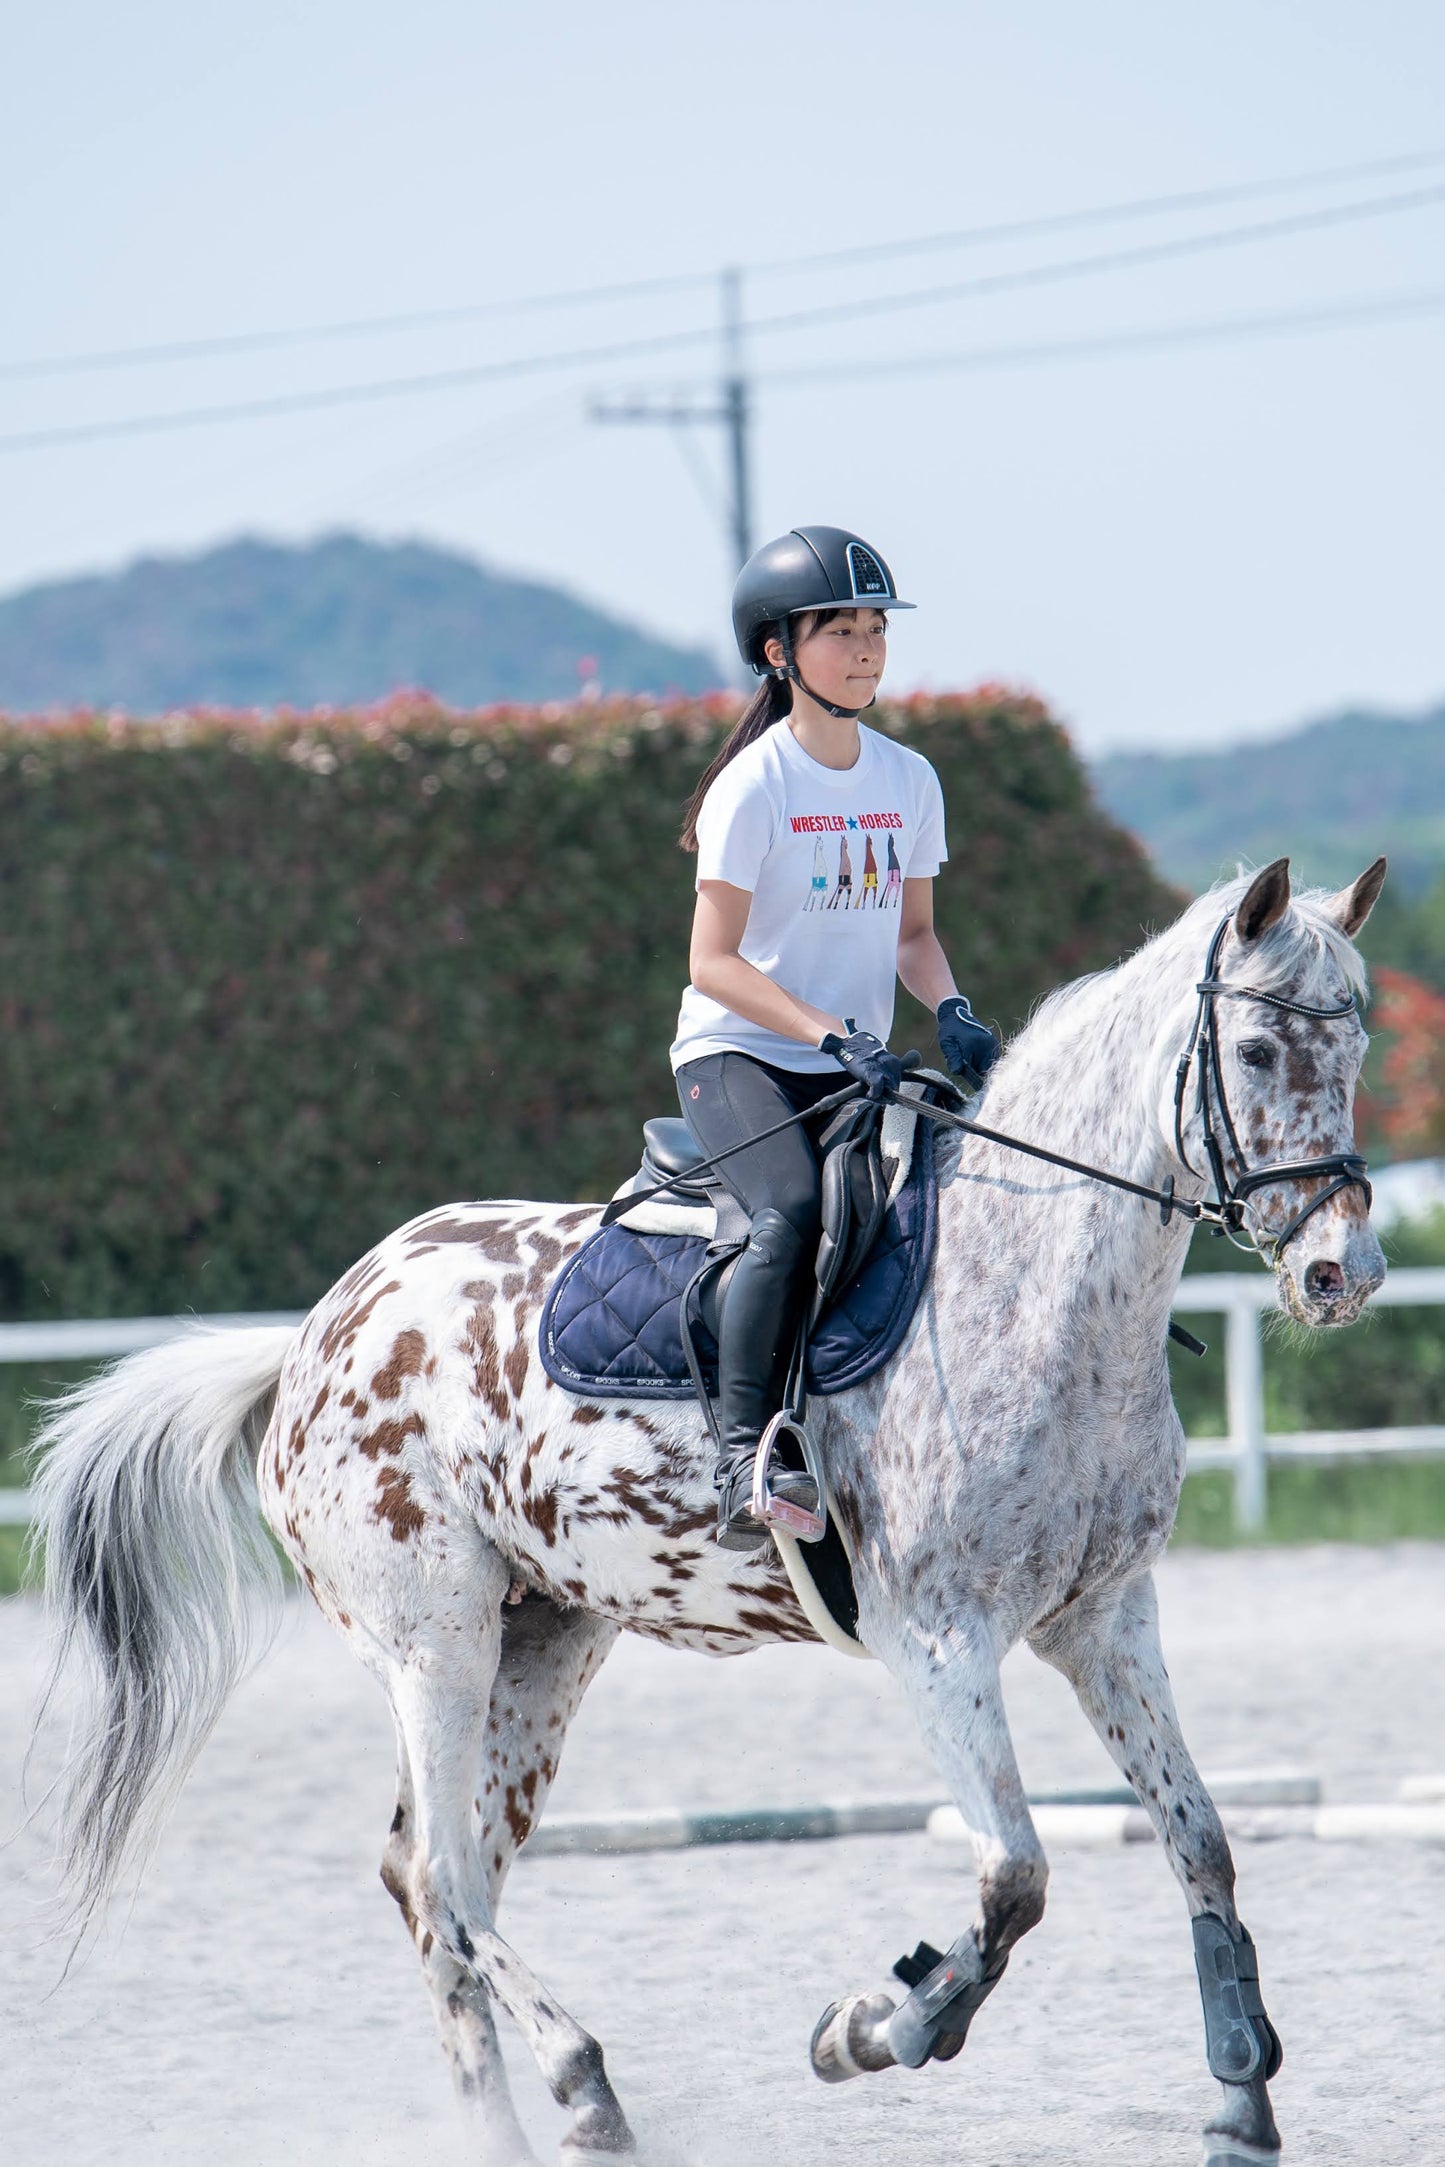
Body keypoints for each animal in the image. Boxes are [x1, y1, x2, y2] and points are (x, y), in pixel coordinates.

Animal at [32, 855, 1387, 2167]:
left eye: (1357, 1044)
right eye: (1254, 1050)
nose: (1341, 1273)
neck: (1033, 1289)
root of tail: (319, 1327)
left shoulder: (1105, 1619)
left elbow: (1198, 1840)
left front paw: (1238, 2100)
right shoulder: (937, 1641)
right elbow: (1014, 1877)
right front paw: (869, 2028)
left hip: (543, 1641)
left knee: (434, 1880)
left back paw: (505, 2126)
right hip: (433, 1642)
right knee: (445, 1880)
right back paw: (584, 2084)